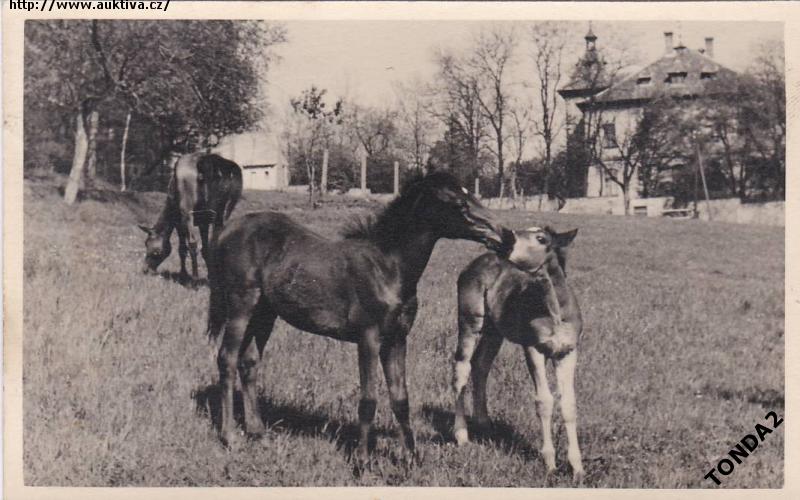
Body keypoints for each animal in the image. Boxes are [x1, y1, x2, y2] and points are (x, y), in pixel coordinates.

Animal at [139, 150, 242, 284]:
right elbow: (205, 248)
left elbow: (182, 249)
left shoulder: (179, 221)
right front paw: (210, 275)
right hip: (218, 211)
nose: (145, 270)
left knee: (192, 243)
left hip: (188, 213)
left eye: (150, 246)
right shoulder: (204, 221)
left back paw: (195, 279)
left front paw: (184, 275)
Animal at [205, 172, 512, 464]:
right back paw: (230, 436)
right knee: (227, 358)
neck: (388, 268)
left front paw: (411, 457)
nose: (507, 236)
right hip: (242, 305)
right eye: (459, 204)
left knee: (249, 362)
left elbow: (401, 398)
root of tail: (227, 229)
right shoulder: (368, 338)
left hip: (265, 313)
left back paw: (257, 431)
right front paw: (363, 459)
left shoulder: (396, 339)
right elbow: (368, 400)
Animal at [454, 226, 584, 480]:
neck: (556, 312)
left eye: (541, 238)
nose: (505, 235)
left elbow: (569, 403)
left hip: (494, 330)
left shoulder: (567, 352)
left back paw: (485, 425)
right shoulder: (533, 347)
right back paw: (462, 435)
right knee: (461, 369)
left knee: (480, 364)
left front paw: (577, 468)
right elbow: (544, 400)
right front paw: (550, 463)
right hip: (470, 321)